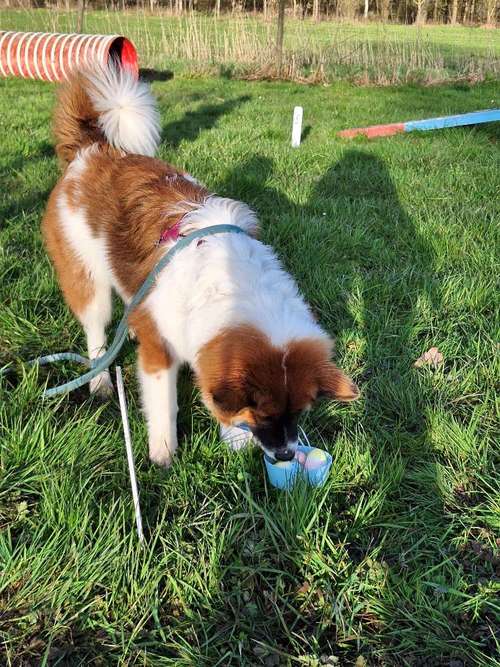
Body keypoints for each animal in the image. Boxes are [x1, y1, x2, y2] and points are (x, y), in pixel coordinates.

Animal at [42, 66, 356, 464]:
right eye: (265, 414)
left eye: (300, 412)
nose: (285, 455)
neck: (233, 285)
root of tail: (91, 150)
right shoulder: (161, 352)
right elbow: (164, 404)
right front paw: (163, 452)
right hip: (89, 281)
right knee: (96, 332)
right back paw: (99, 380)